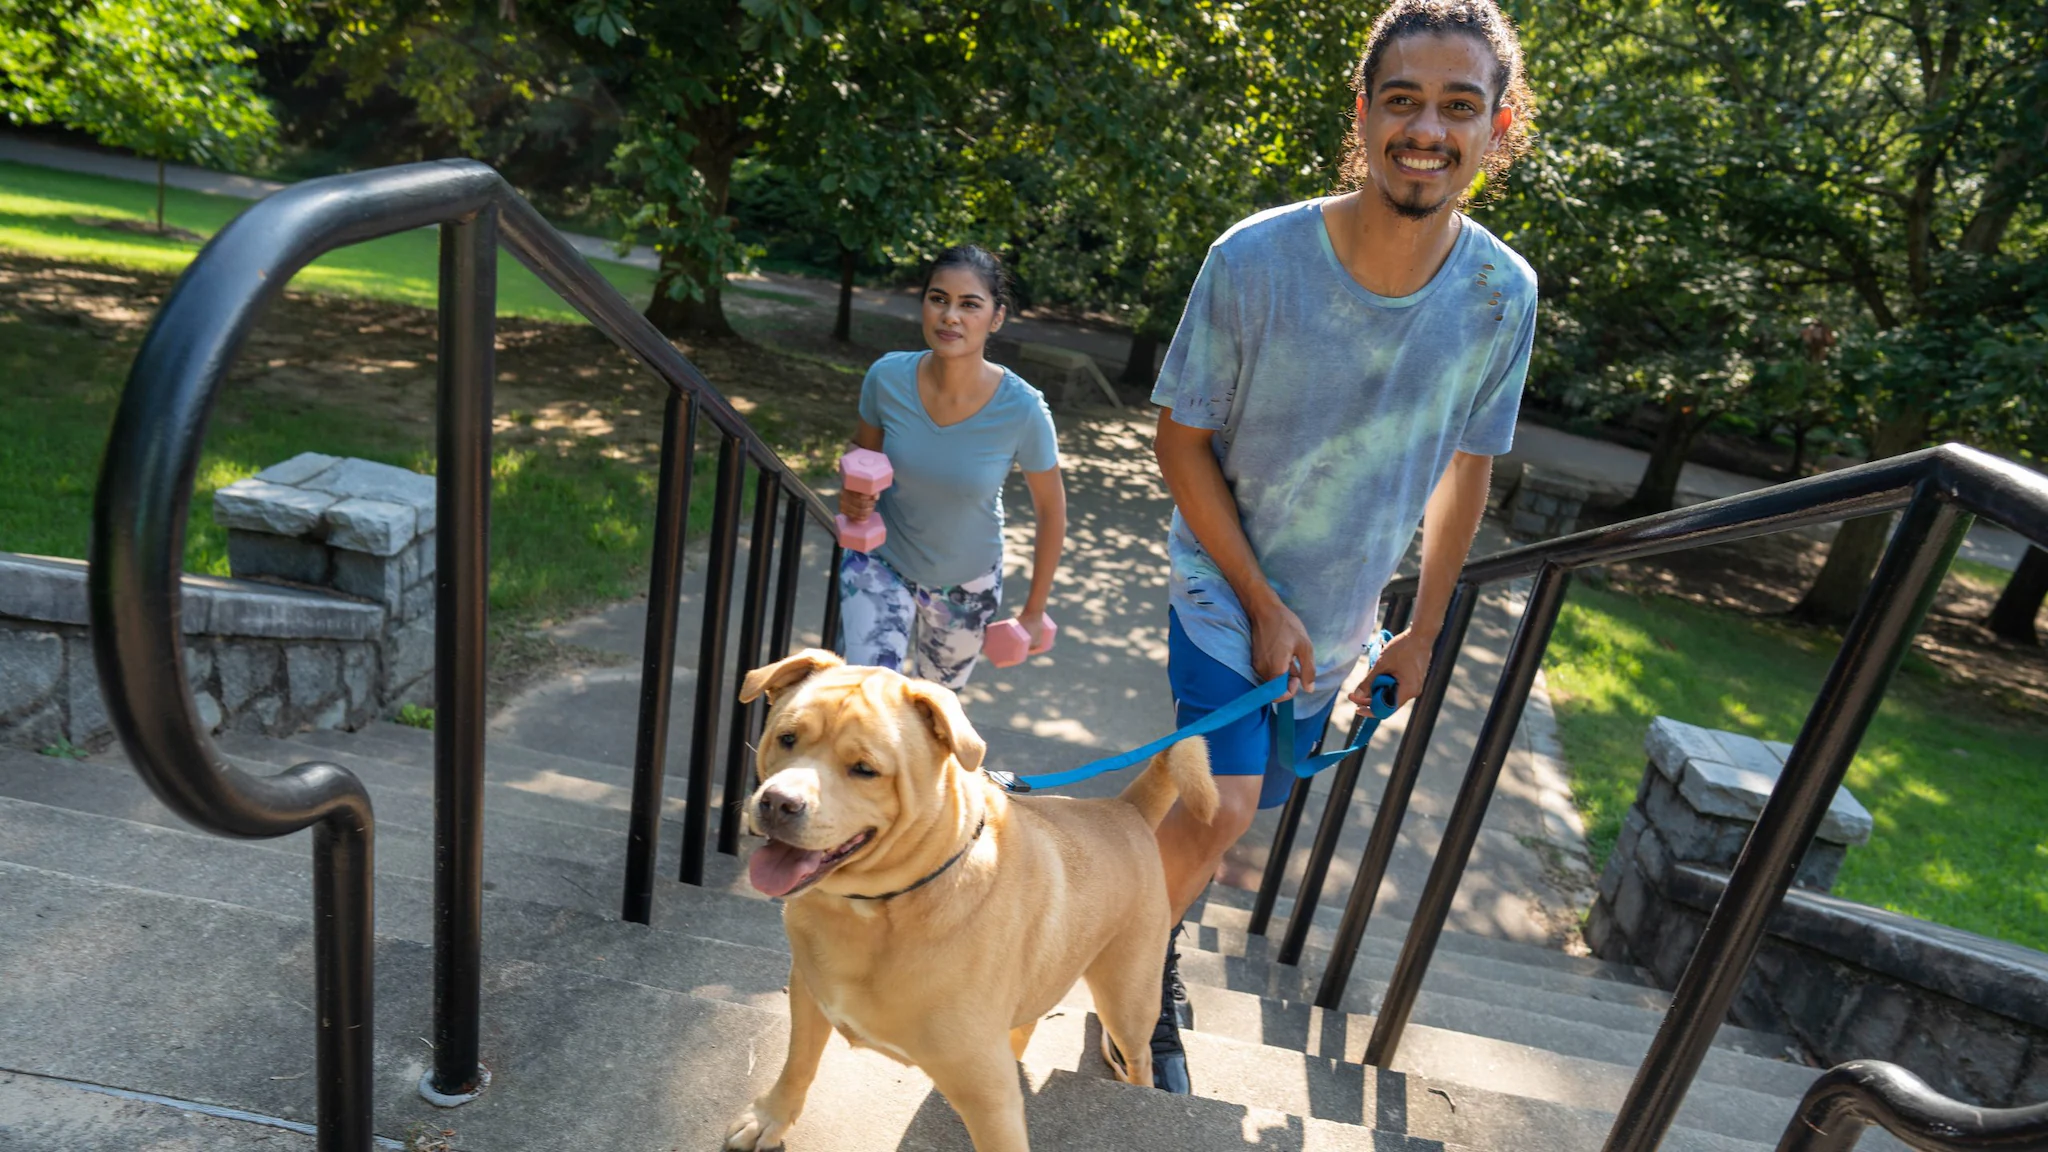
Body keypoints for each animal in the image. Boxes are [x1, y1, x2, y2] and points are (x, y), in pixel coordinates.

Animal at [729, 651, 1212, 1139]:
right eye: (787, 738)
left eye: (865, 769)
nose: (778, 803)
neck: (884, 905)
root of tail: (1126, 808)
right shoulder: (809, 995)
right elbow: (798, 1062)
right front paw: (771, 1117)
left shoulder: (988, 1096)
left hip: (1128, 1001)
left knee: (1139, 1058)